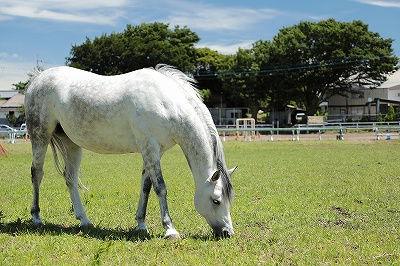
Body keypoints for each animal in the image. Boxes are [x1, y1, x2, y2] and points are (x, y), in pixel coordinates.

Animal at [24, 64, 238, 239]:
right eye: (216, 200)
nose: (227, 233)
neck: (166, 102)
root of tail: (38, 78)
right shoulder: (150, 148)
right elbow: (160, 188)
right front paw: (170, 229)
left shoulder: (153, 152)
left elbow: (146, 187)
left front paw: (141, 225)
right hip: (40, 137)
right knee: (37, 173)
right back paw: (36, 218)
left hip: (72, 144)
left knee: (71, 179)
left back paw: (84, 220)